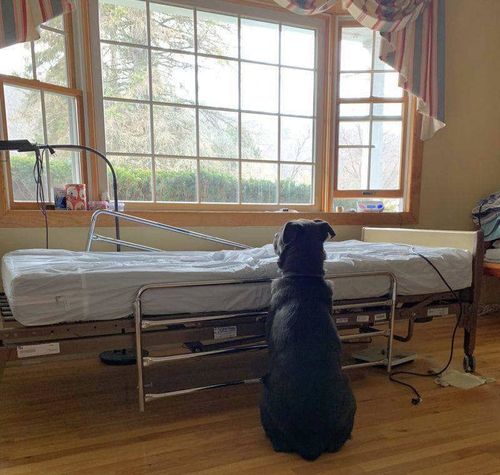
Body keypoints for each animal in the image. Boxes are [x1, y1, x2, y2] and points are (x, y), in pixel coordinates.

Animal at [260, 220, 358, 462]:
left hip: (265, 397)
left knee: (277, 443)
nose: (273, 235)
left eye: (278, 235)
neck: (303, 275)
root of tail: (310, 442)